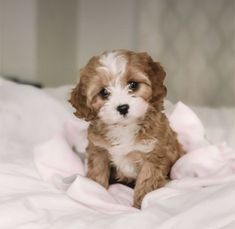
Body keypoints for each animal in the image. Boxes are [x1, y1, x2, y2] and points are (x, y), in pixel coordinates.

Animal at [69, 49, 185, 208]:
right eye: (104, 92)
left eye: (133, 85)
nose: (123, 108)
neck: (124, 127)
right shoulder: (99, 151)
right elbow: (98, 173)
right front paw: (97, 193)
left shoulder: (154, 154)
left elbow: (147, 182)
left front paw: (141, 205)